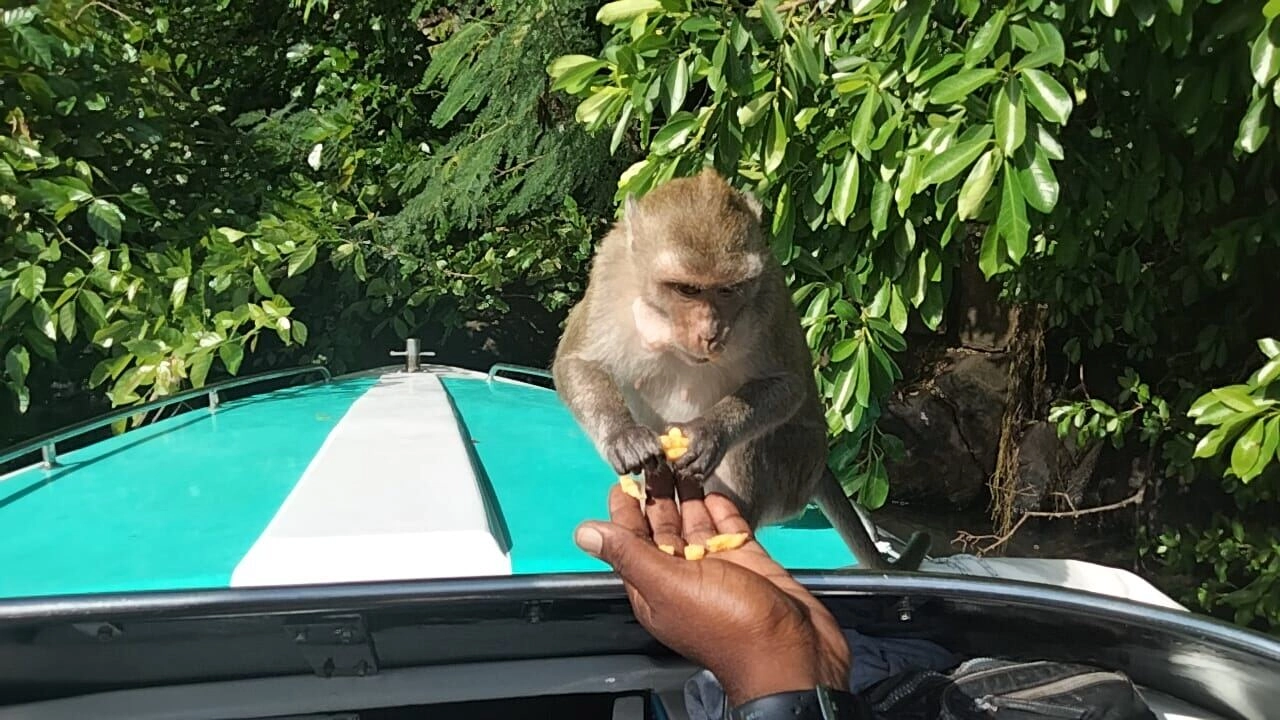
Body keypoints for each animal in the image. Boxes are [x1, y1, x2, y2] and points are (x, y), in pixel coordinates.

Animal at [551, 167, 929, 572]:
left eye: (728, 289)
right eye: (687, 289)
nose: (710, 333)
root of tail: (819, 468)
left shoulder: (769, 293)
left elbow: (788, 385)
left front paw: (710, 433)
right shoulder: (610, 272)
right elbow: (576, 362)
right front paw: (624, 436)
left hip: (795, 469)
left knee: (759, 441)